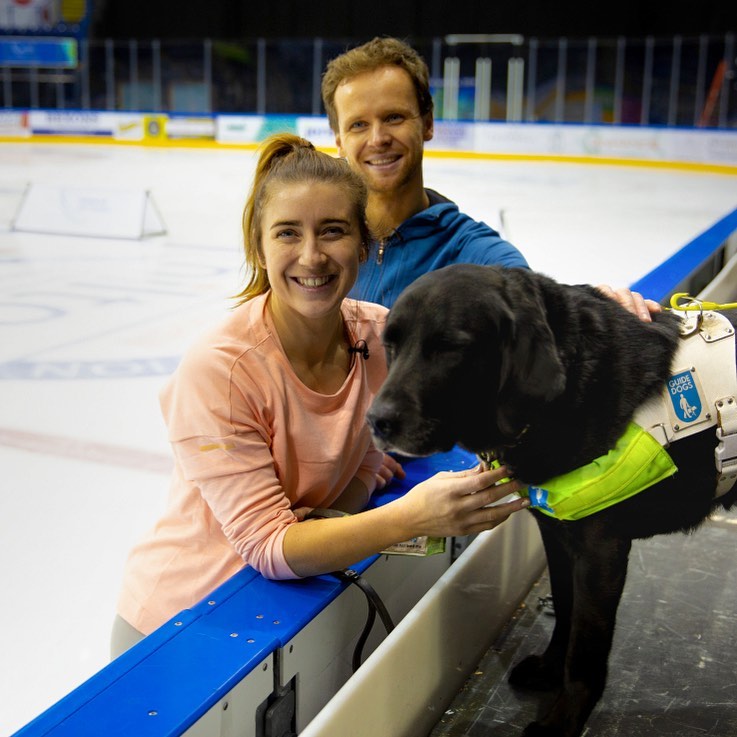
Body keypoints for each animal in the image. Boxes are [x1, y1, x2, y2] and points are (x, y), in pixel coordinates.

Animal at [368, 264, 736, 736]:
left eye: (450, 347)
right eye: (390, 344)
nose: (376, 421)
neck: (572, 386)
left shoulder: (600, 552)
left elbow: (585, 644)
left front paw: (564, 719)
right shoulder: (557, 536)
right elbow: (565, 609)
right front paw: (548, 668)